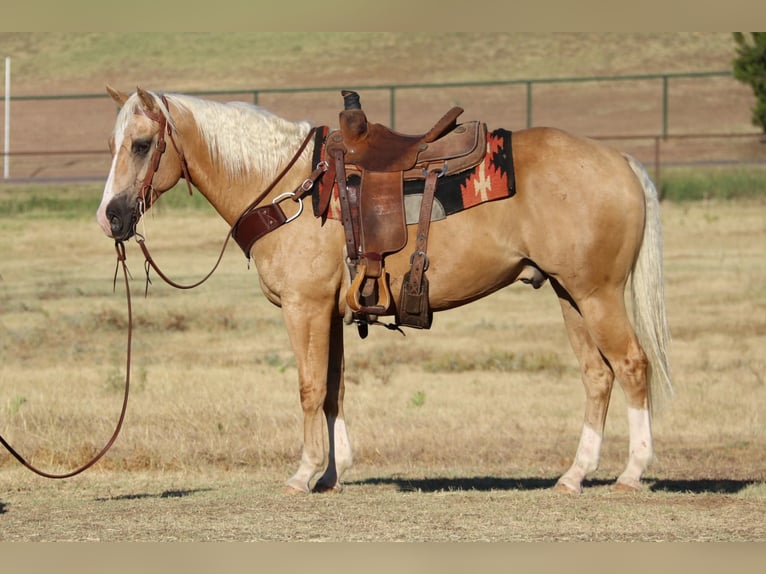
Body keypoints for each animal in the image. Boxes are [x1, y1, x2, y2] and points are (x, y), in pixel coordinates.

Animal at [94, 85, 672, 496]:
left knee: (631, 365)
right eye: (113, 145)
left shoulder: (305, 309)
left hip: (596, 295)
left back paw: (631, 472)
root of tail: (621, 162)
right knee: (597, 375)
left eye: (141, 145)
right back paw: (575, 475)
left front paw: (303, 473)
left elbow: (308, 387)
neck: (290, 187)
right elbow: (333, 389)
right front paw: (333, 473)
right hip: (568, 294)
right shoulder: (330, 313)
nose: (111, 218)